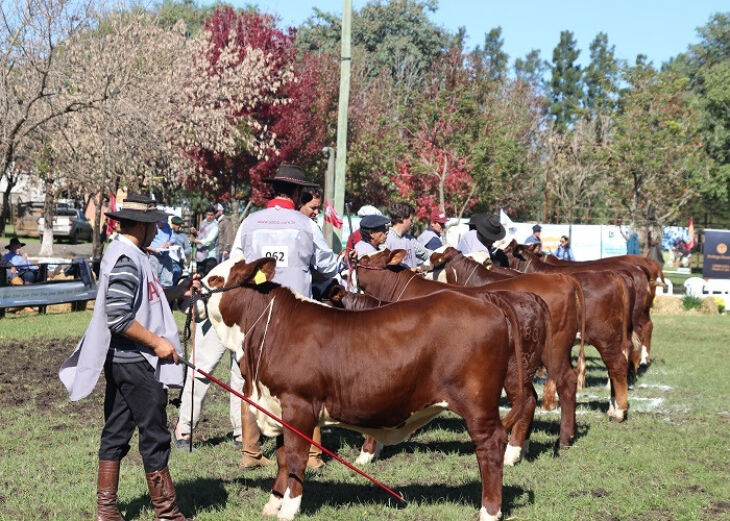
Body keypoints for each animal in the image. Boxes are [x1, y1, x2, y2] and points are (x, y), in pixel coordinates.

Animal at [205, 256, 524, 520]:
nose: (196, 285)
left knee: (491, 446)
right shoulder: (279, 406)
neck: (274, 328)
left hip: (477, 404)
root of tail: (487, 300)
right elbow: (283, 458)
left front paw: (289, 510)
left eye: (216, 280)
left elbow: (296, 457)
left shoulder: (299, 404)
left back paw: (489, 512)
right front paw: (273, 504)